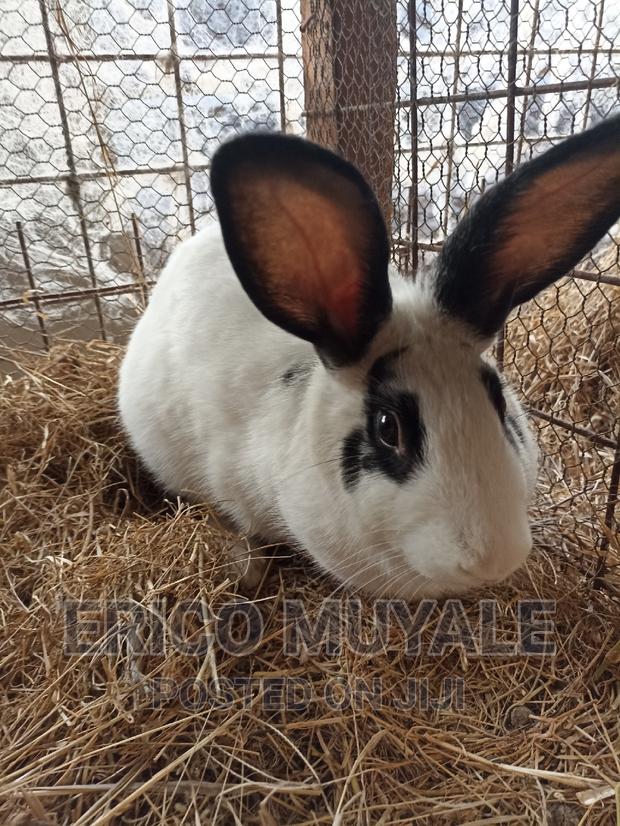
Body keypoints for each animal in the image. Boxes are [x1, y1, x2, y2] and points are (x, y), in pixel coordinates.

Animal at [118, 114, 620, 599]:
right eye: (387, 428)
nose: (489, 560)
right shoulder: (229, 482)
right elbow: (239, 525)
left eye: (499, 403)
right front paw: (246, 568)